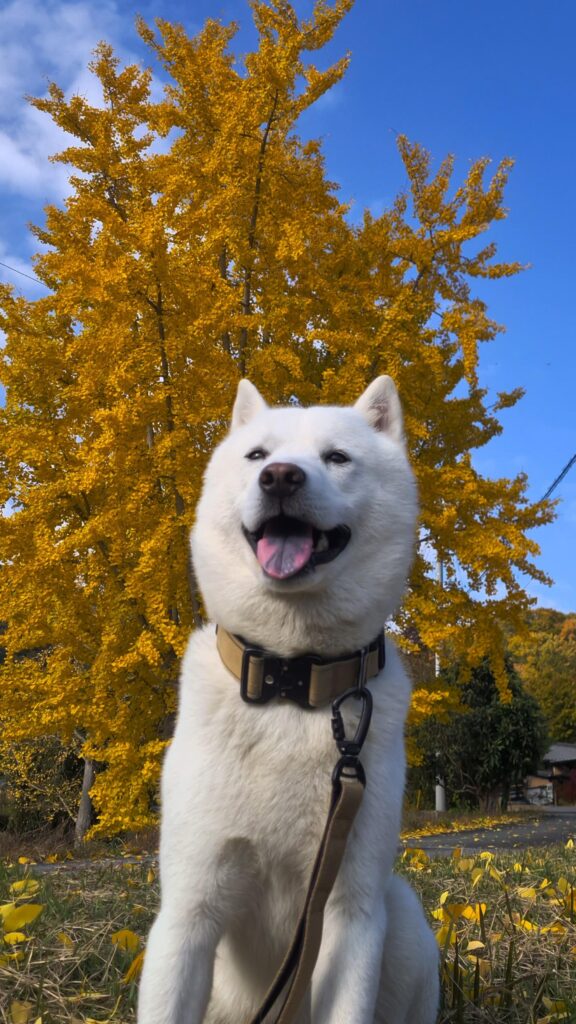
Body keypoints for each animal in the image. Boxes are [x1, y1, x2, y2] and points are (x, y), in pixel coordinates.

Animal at [137, 376, 439, 1024]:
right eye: (257, 456)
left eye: (337, 458)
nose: (280, 477)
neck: (293, 682)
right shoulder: (188, 914)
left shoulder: (351, 913)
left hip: (401, 919)